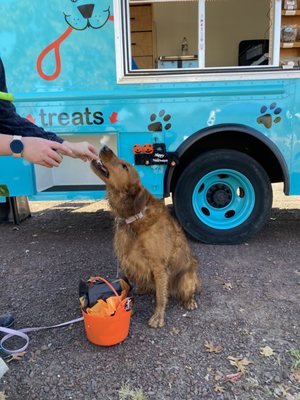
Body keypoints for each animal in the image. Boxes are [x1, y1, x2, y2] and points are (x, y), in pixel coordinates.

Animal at [90, 146, 200, 328]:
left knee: (186, 291)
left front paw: (158, 316)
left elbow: (161, 296)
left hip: (186, 278)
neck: (133, 217)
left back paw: (189, 301)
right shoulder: (127, 258)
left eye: (124, 166)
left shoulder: (159, 265)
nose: (105, 147)